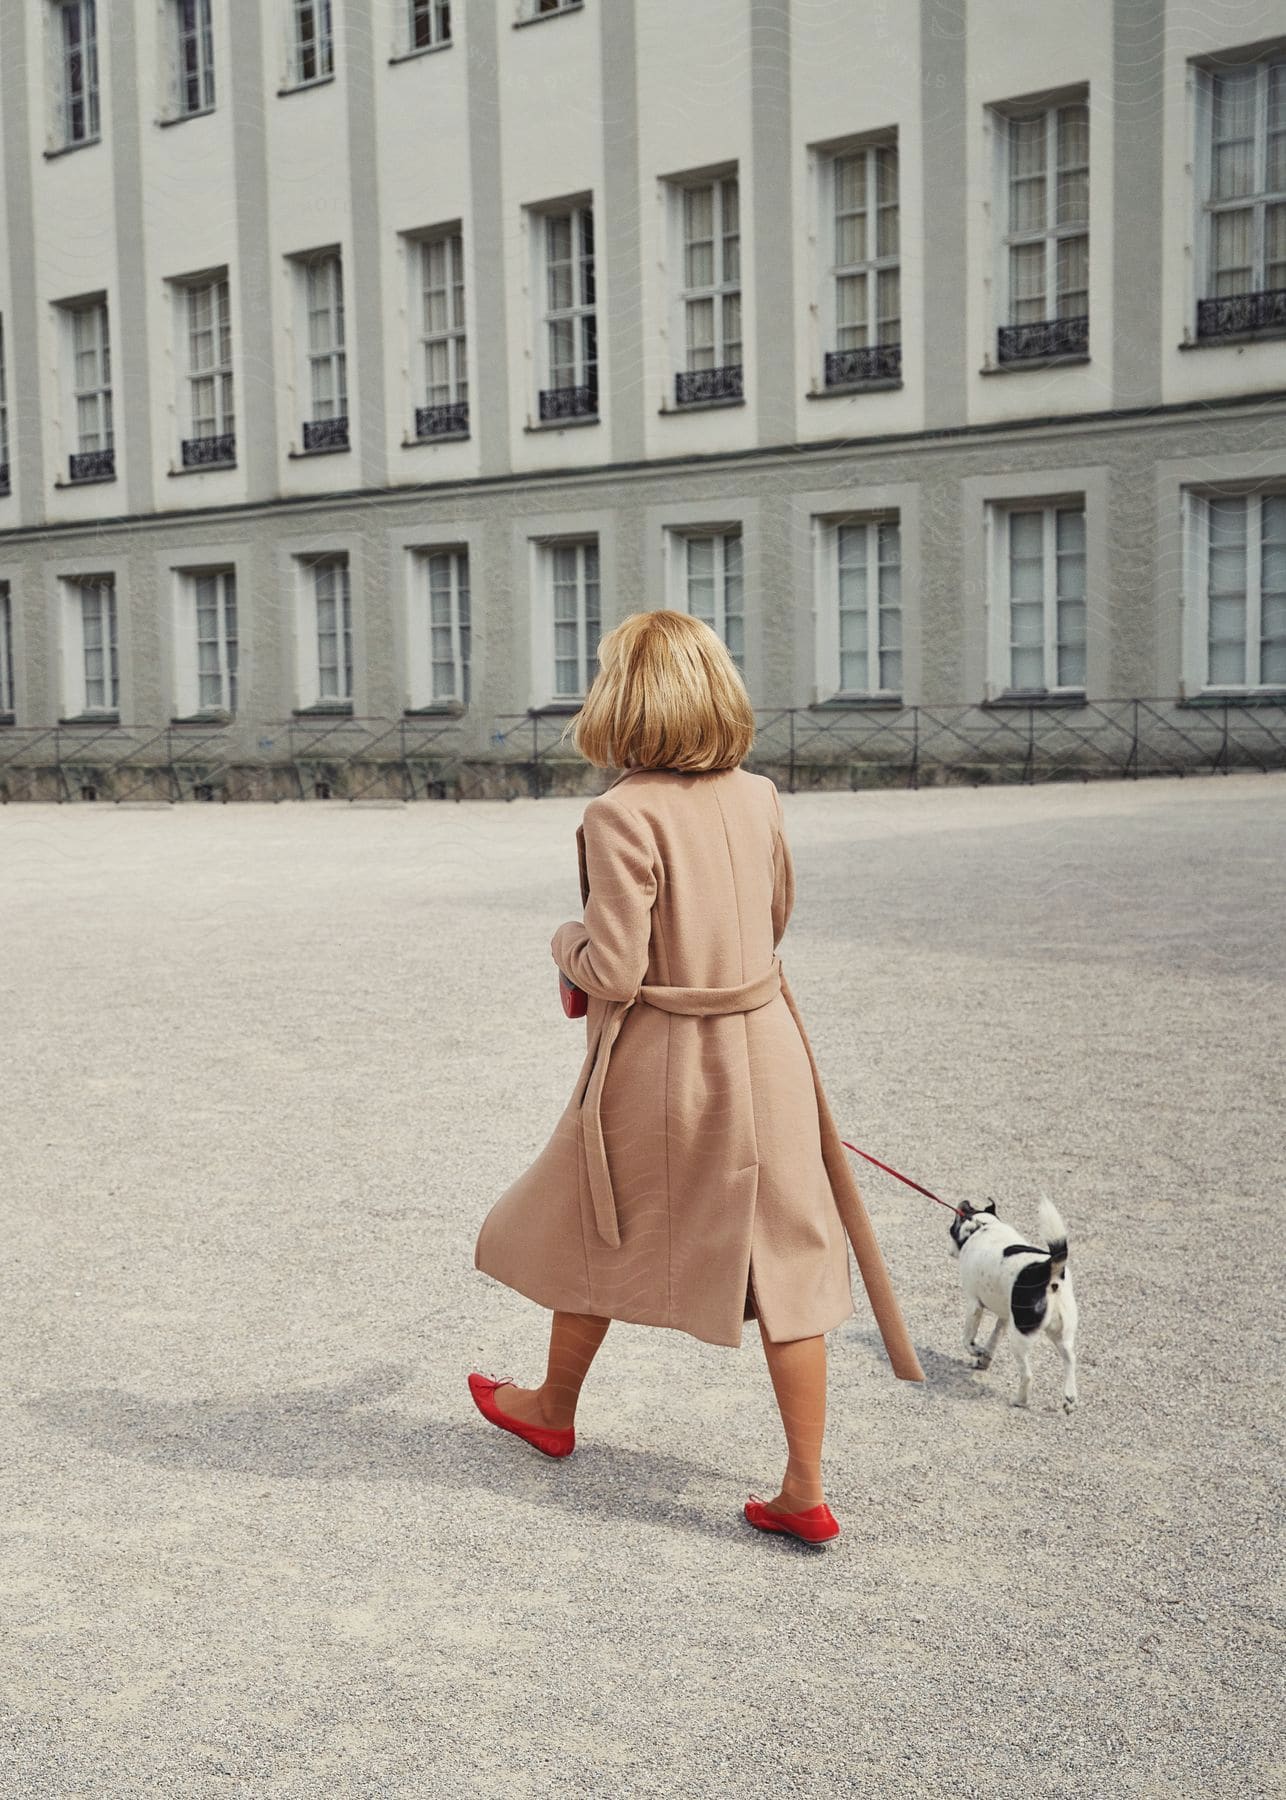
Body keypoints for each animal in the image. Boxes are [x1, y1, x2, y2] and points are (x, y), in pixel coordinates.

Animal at [943, 1202, 1073, 1411]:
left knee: (1027, 1375)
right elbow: (993, 1340)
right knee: (1070, 1359)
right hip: (1060, 1333)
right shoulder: (1004, 1317)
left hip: (1020, 1337)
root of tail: (1047, 1269)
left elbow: (967, 1339)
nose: (964, 1202)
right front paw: (984, 1358)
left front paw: (976, 1350)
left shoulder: (974, 1305)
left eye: (951, 1228)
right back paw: (1069, 1399)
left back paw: (1020, 1401)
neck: (983, 1226)